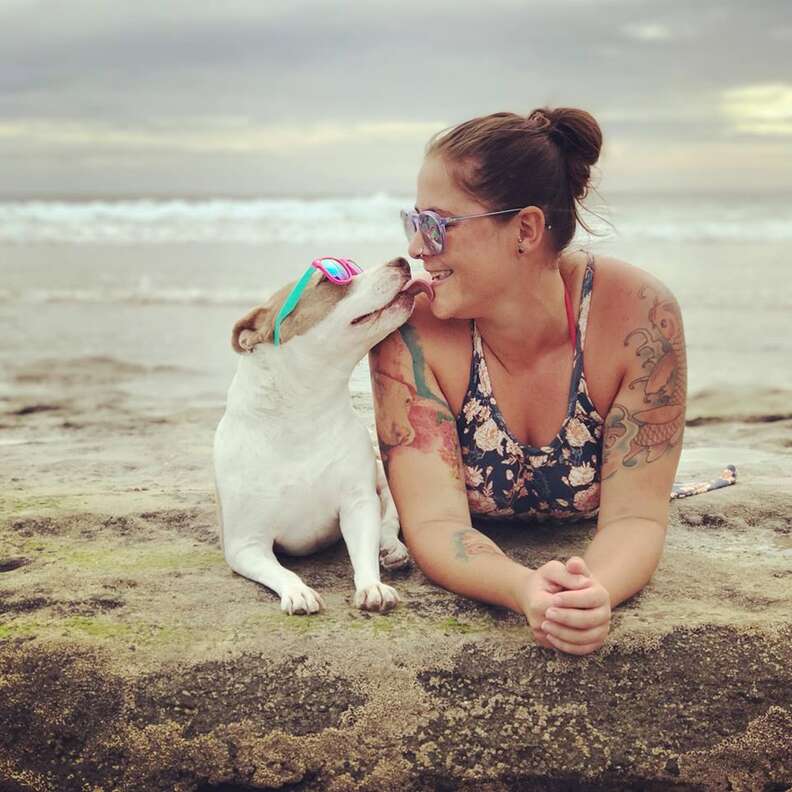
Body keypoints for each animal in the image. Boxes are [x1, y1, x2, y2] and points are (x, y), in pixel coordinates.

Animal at [213, 256, 430, 616]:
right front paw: (298, 592)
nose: (400, 261)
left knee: (389, 517)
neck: (303, 413)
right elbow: (281, 571)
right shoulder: (246, 545)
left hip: (382, 480)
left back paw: (391, 548)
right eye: (331, 280)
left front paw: (372, 586)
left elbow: (363, 551)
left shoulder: (357, 504)